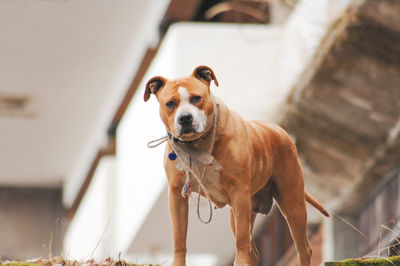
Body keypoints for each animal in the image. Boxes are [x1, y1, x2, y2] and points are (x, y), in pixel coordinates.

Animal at [145, 65, 330, 266]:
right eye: (170, 104)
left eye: (196, 98)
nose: (185, 118)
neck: (198, 145)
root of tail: (280, 130)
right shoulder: (177, 194)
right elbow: (179, 237)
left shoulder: (239, 192)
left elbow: (241, 241)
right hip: (240, 211)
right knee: (254, 251)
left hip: (292, 201)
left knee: (302, 248)